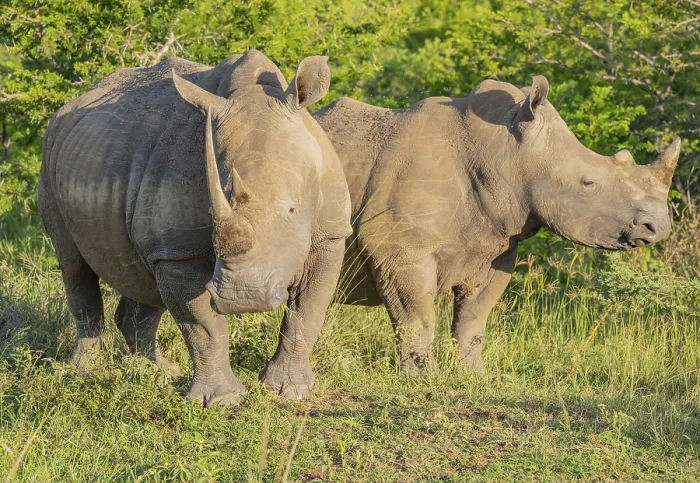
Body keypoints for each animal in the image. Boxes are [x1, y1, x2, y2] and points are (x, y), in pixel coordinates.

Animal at [39, 50, 352, 405]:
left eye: (292, 209)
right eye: (212, 210)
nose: (244, 297)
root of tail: (67, 109)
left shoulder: (330, 234)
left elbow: (306, 312)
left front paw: (290, 391)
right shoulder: (179, 250)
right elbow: (203, 326)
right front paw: (221, 401)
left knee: (142, 277)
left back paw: (156, 371)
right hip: (50, 159)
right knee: (75, 266)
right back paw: (84, 372)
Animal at [314, 75, 680, 372]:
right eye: (588, 183)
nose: (658, 227)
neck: (504, 153)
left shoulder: (495, 245)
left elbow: (473, 322)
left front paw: (473, 376)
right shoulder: (397, 248)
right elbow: (417, 320)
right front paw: (422, 379)